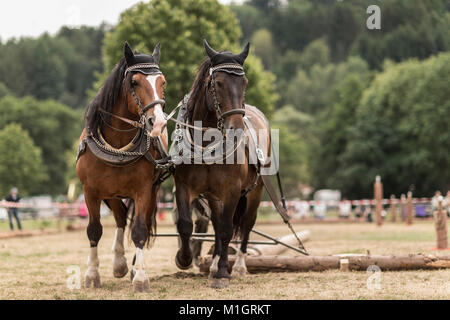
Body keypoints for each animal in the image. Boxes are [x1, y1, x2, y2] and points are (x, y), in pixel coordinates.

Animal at [76, 42, 168, 292]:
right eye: (134, 82)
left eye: (162, 82)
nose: (158, 122)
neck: (118, 144)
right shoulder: (90, 191)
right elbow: (94, 230)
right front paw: (91, 274)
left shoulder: (143, 189)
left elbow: (139, 230)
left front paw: (141, 278)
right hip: (111, 192)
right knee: (119, 216)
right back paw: (119, 262)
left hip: (151, 191)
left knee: (134, 220)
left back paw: (133, 267)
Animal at [173, 40, 270, 288]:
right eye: (218, 83)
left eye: (244, 82)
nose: (236, 128)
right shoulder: (185, 186)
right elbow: (186, 224)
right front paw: (184, 259)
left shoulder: (232, 189)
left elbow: (227, 230)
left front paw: (224, 272)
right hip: (213, 196)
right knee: (216, 224)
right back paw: (214, 264)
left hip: (254, 193)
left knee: (246, 224)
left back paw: (238, 266)